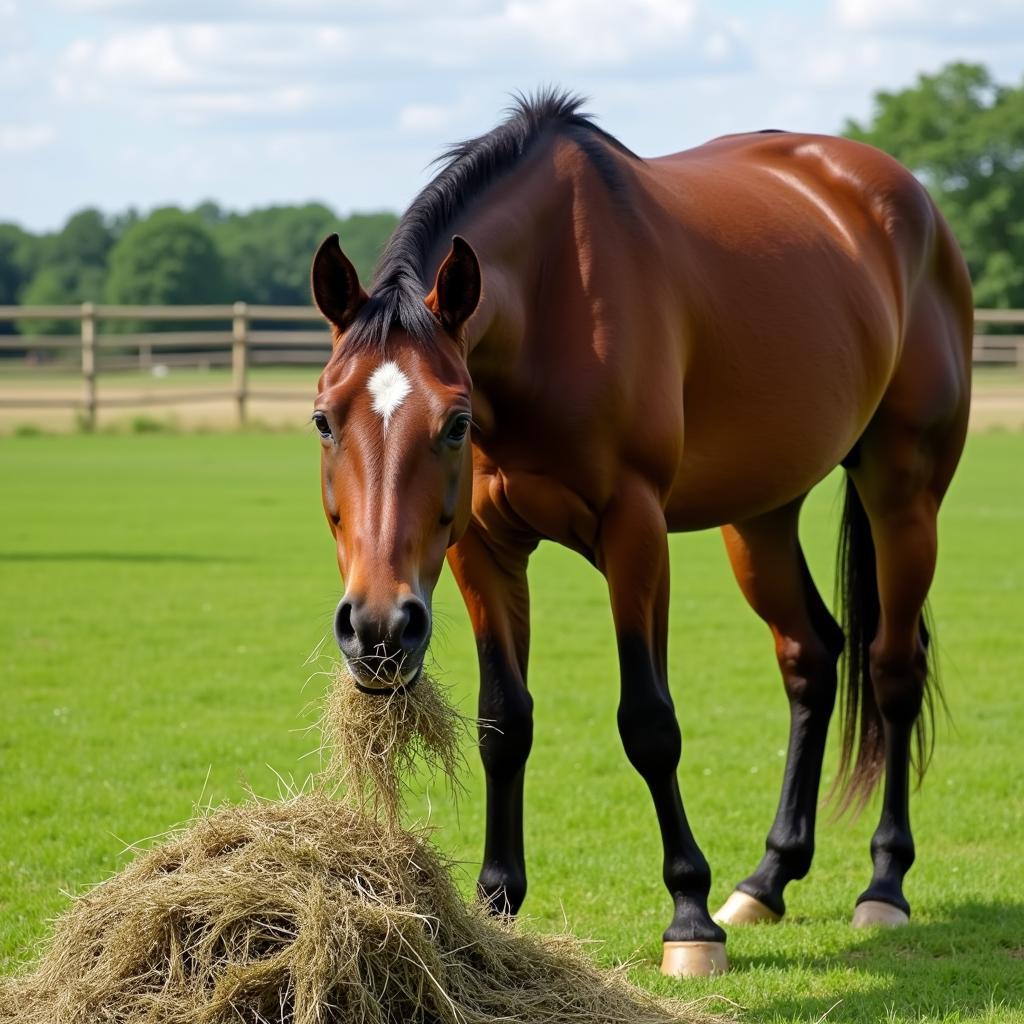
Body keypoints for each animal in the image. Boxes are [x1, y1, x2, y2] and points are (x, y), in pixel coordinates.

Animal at [307, 90, 970, 974]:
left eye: (454, 422)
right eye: (323, 419)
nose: (378, 629)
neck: (552, 297)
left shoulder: (636, 533)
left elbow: (649, 723)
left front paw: (689, 917)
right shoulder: (483, 549)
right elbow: (503, 722)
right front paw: (496, 902)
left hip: (904, 493)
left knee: (893, 667)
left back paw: (884, 886)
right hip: (760, 514)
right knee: (811, 656)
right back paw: (767, 881)